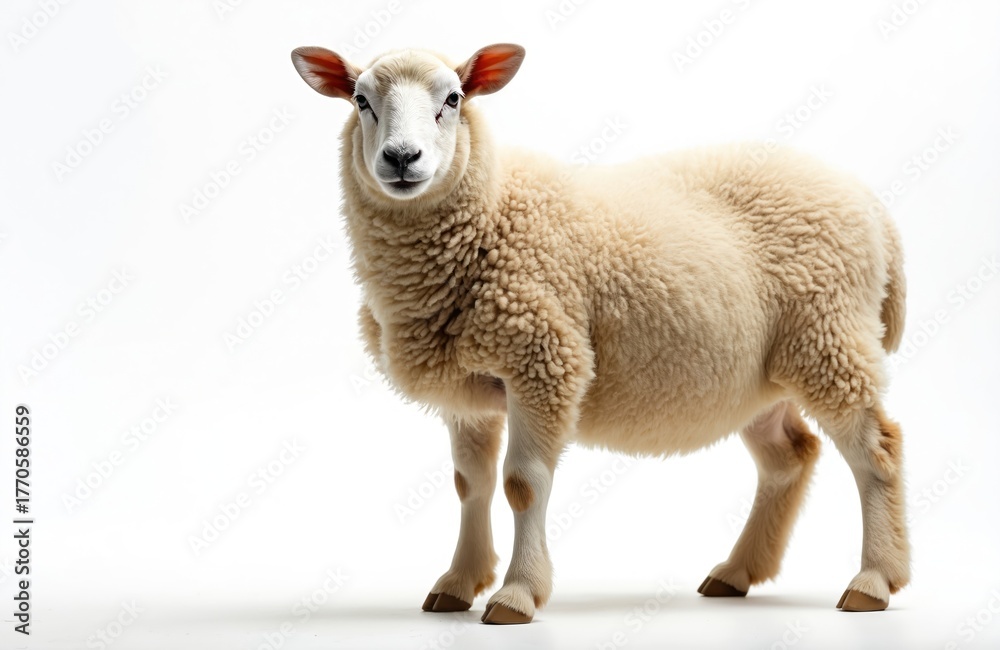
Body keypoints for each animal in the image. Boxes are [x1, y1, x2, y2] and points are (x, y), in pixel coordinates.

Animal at [290, 42, 910, 624]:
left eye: (454, 99)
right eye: (361, 101)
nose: (402, 158)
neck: (491, 209)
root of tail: (872, 206)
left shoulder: (544, 358)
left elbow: (522, 483)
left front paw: (517, 594)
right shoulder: (467, 390)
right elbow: (471, 484)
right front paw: (459, 583)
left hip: (828, 337)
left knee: (876, 451)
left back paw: (873, 580)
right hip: (761, 371)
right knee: (789, 456)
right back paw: (737, 572)